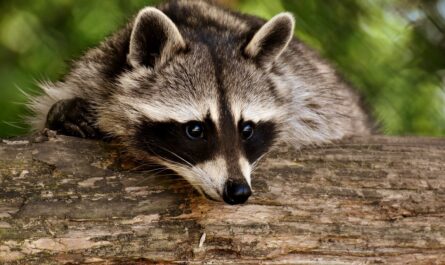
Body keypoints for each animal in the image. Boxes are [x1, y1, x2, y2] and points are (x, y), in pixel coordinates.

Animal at [26, 0, 370, 204]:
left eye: (247, 129)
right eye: (195, 130)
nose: (238, 192)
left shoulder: (308, 94)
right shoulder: (92, 72)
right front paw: (65, 113)